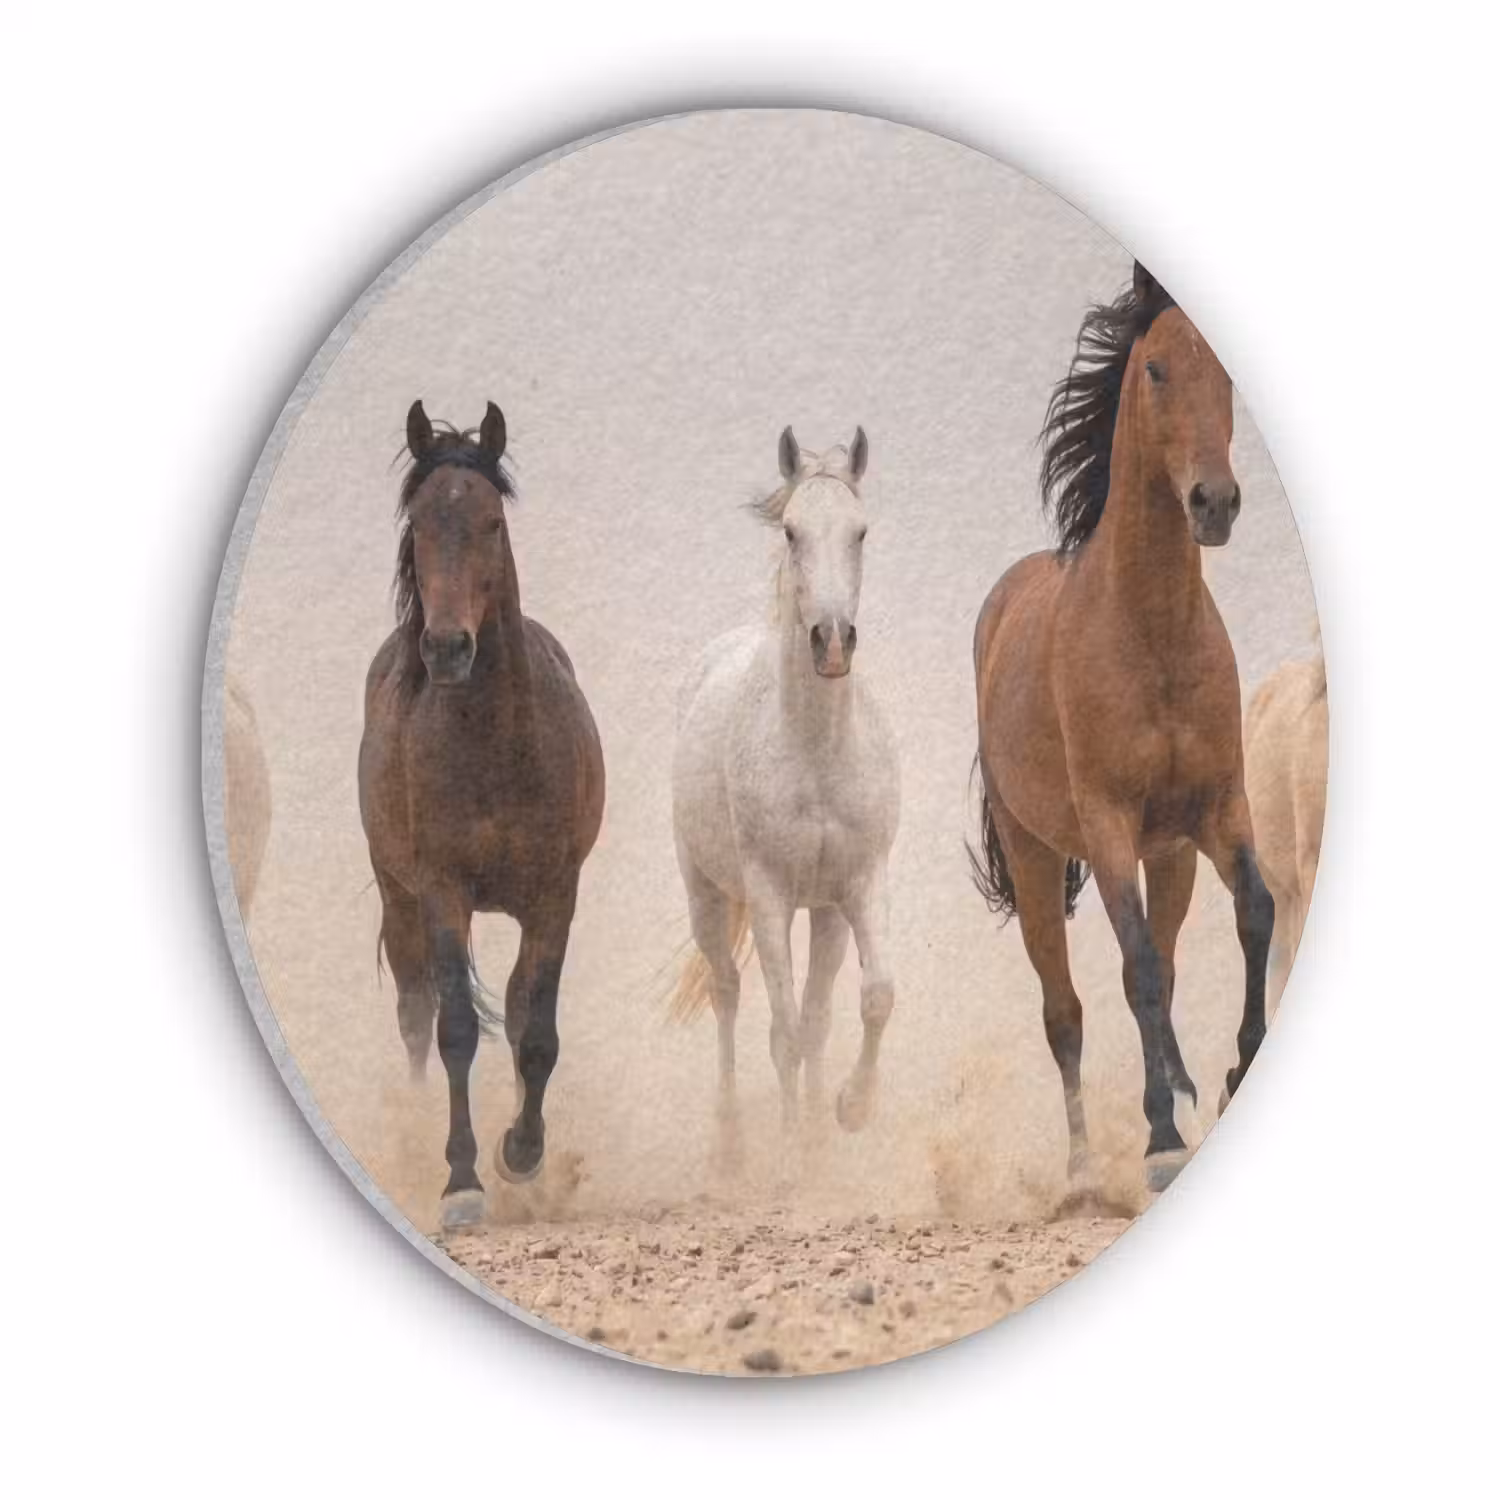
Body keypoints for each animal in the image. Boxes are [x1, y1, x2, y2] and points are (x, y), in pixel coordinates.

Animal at [358, 400, 605, 1229]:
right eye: (419, 523)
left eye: (492, 521)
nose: (446, 647)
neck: (494, 744)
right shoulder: (441, 891)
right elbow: (456, 1029)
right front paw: (460, 1181)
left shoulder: (556, 895)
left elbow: (537, 1032)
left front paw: (521, 1153)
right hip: (398, 897)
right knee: (414, 1011)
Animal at [668, 427, 899, 1167]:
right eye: (793, 531)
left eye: (861, 531)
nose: (831, 641)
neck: (816, 752)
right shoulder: (768, 896)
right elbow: (786, 1031)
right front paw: (795, 1159)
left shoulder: (857, 884)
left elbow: (871, 999)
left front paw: (847, 1114)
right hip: (708, 896)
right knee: (728, 992)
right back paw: (733, 1143)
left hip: (821, 913)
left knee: (819, 1013)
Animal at [971, 261, 1275, 1194]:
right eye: (1157, 371)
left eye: (1226, 378)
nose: (1215, 503)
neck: (1153, 634)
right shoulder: (1106, 827)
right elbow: (1133, 970)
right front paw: (1164, 1135)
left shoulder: (1215, 810)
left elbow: (1255, 913)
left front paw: (1236, 1070)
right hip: (1035, 857)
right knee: (1065, 1010)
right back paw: (1082, 1172)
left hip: (1168, 857)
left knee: (1165, 969)